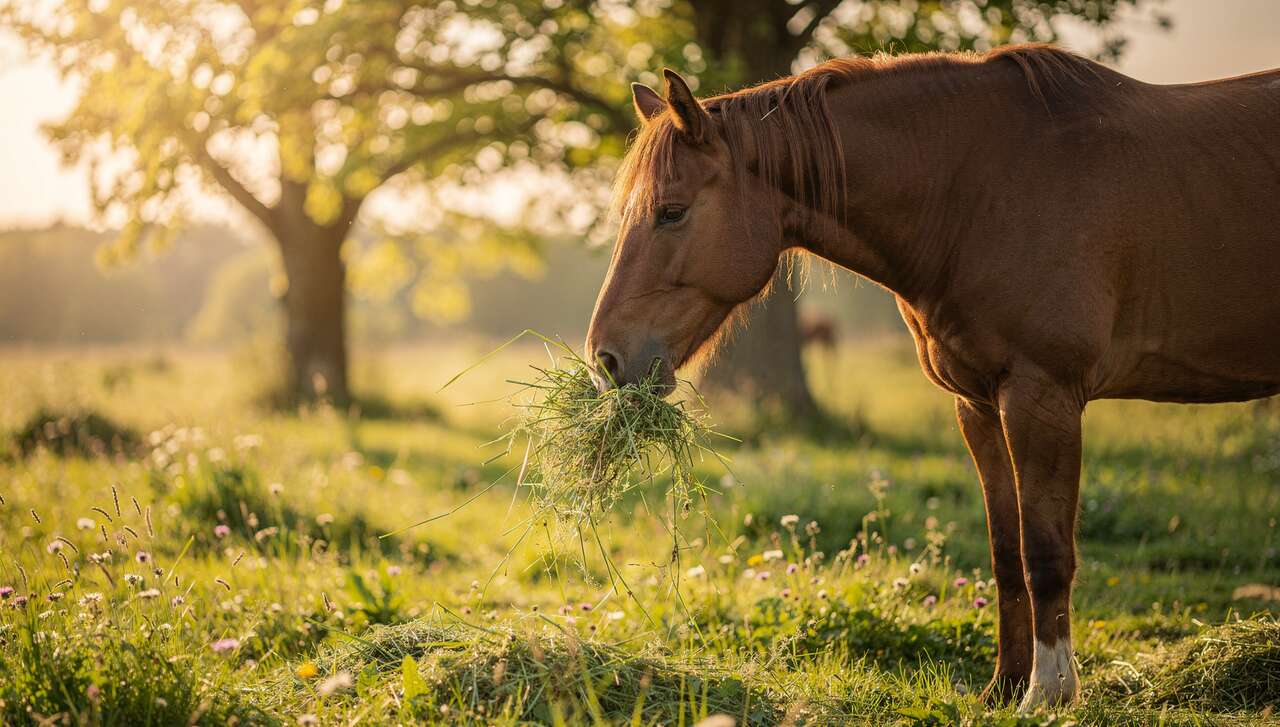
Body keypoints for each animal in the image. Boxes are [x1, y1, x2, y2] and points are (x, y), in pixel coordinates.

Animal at [583, 44, 1280, 709]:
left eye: (671, 212)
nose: (606, 359)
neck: (983, 193)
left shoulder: (1043, 397)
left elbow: (1046, 551)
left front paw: (1049, 692)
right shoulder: (979, 404)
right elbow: (1006, 551)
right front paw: (1004, 688)